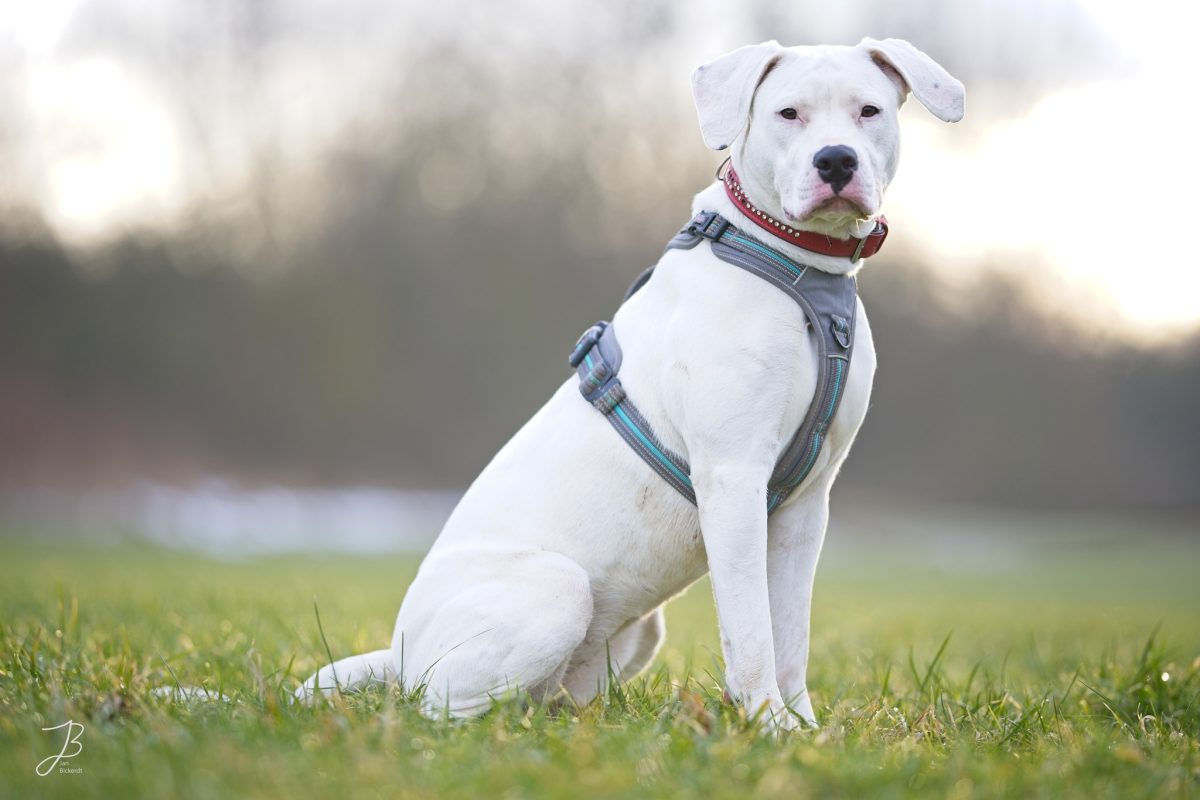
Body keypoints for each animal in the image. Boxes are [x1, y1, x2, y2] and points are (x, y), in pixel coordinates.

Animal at [300, 37, 964, 729]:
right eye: (788, 113)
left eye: (869, 110)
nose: (835, 159)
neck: (797, 264)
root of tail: (400, 651)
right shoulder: (733, 480)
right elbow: (751, 629)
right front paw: (766, 725)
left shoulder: (808, 504)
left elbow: (790, 633)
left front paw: (802, 727)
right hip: (556, 591)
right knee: (435, 709)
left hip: (638, 634)